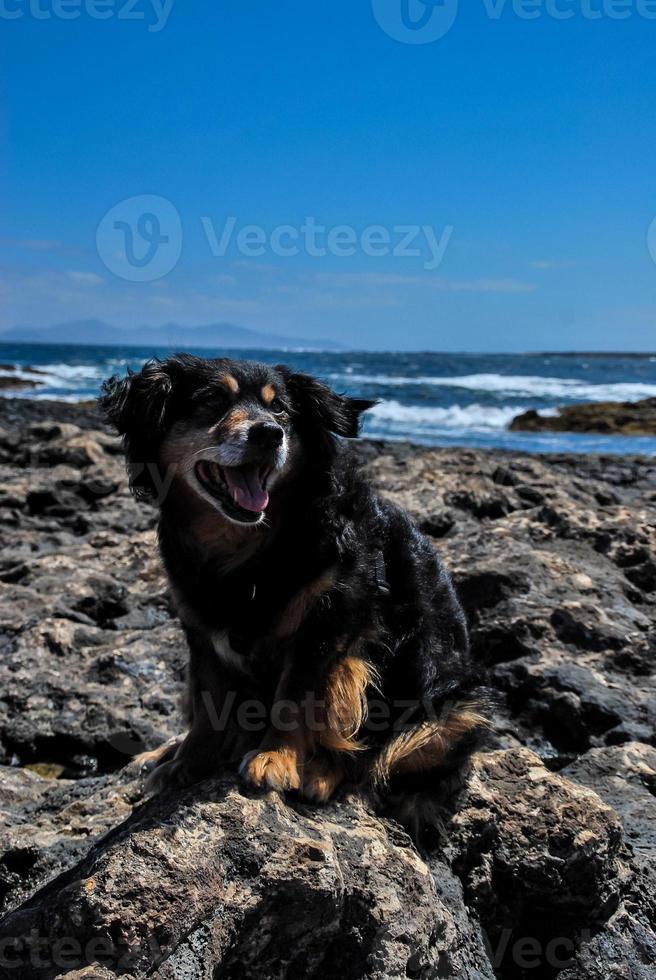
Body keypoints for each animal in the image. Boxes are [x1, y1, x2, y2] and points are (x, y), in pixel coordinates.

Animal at [98, 356, 486, 800]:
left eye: (280, 408)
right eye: (212, 400)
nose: (269, 433)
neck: (250, 543)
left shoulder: (328, 621)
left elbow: (296, 697)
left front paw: (276, 759)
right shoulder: (201, 630)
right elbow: (208, 703)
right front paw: (188, 762)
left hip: (446, 711)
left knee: (378, 750)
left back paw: (322, 770)